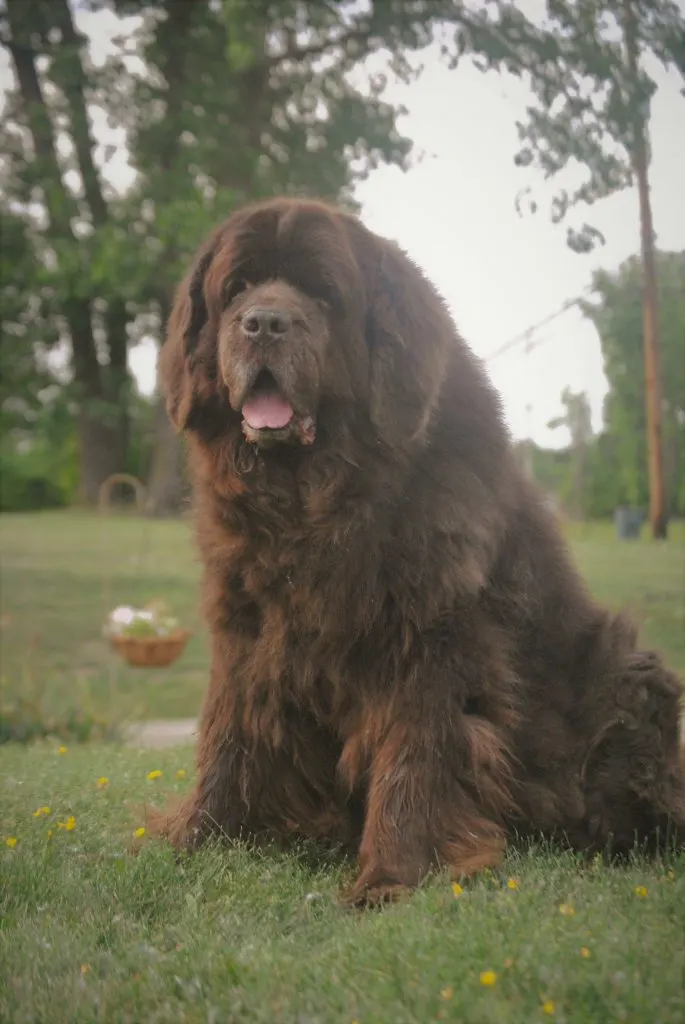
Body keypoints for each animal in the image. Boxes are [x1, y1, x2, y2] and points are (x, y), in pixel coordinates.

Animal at [152, 195, 679, 901]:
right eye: (236, 288)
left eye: (323, 294)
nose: (263, 323)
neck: (317, 500)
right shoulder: (248, 629)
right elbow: (229, 732)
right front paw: (195, 837)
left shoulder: (431, 638)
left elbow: (416, 756)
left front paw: (389, 880)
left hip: (623, 674)